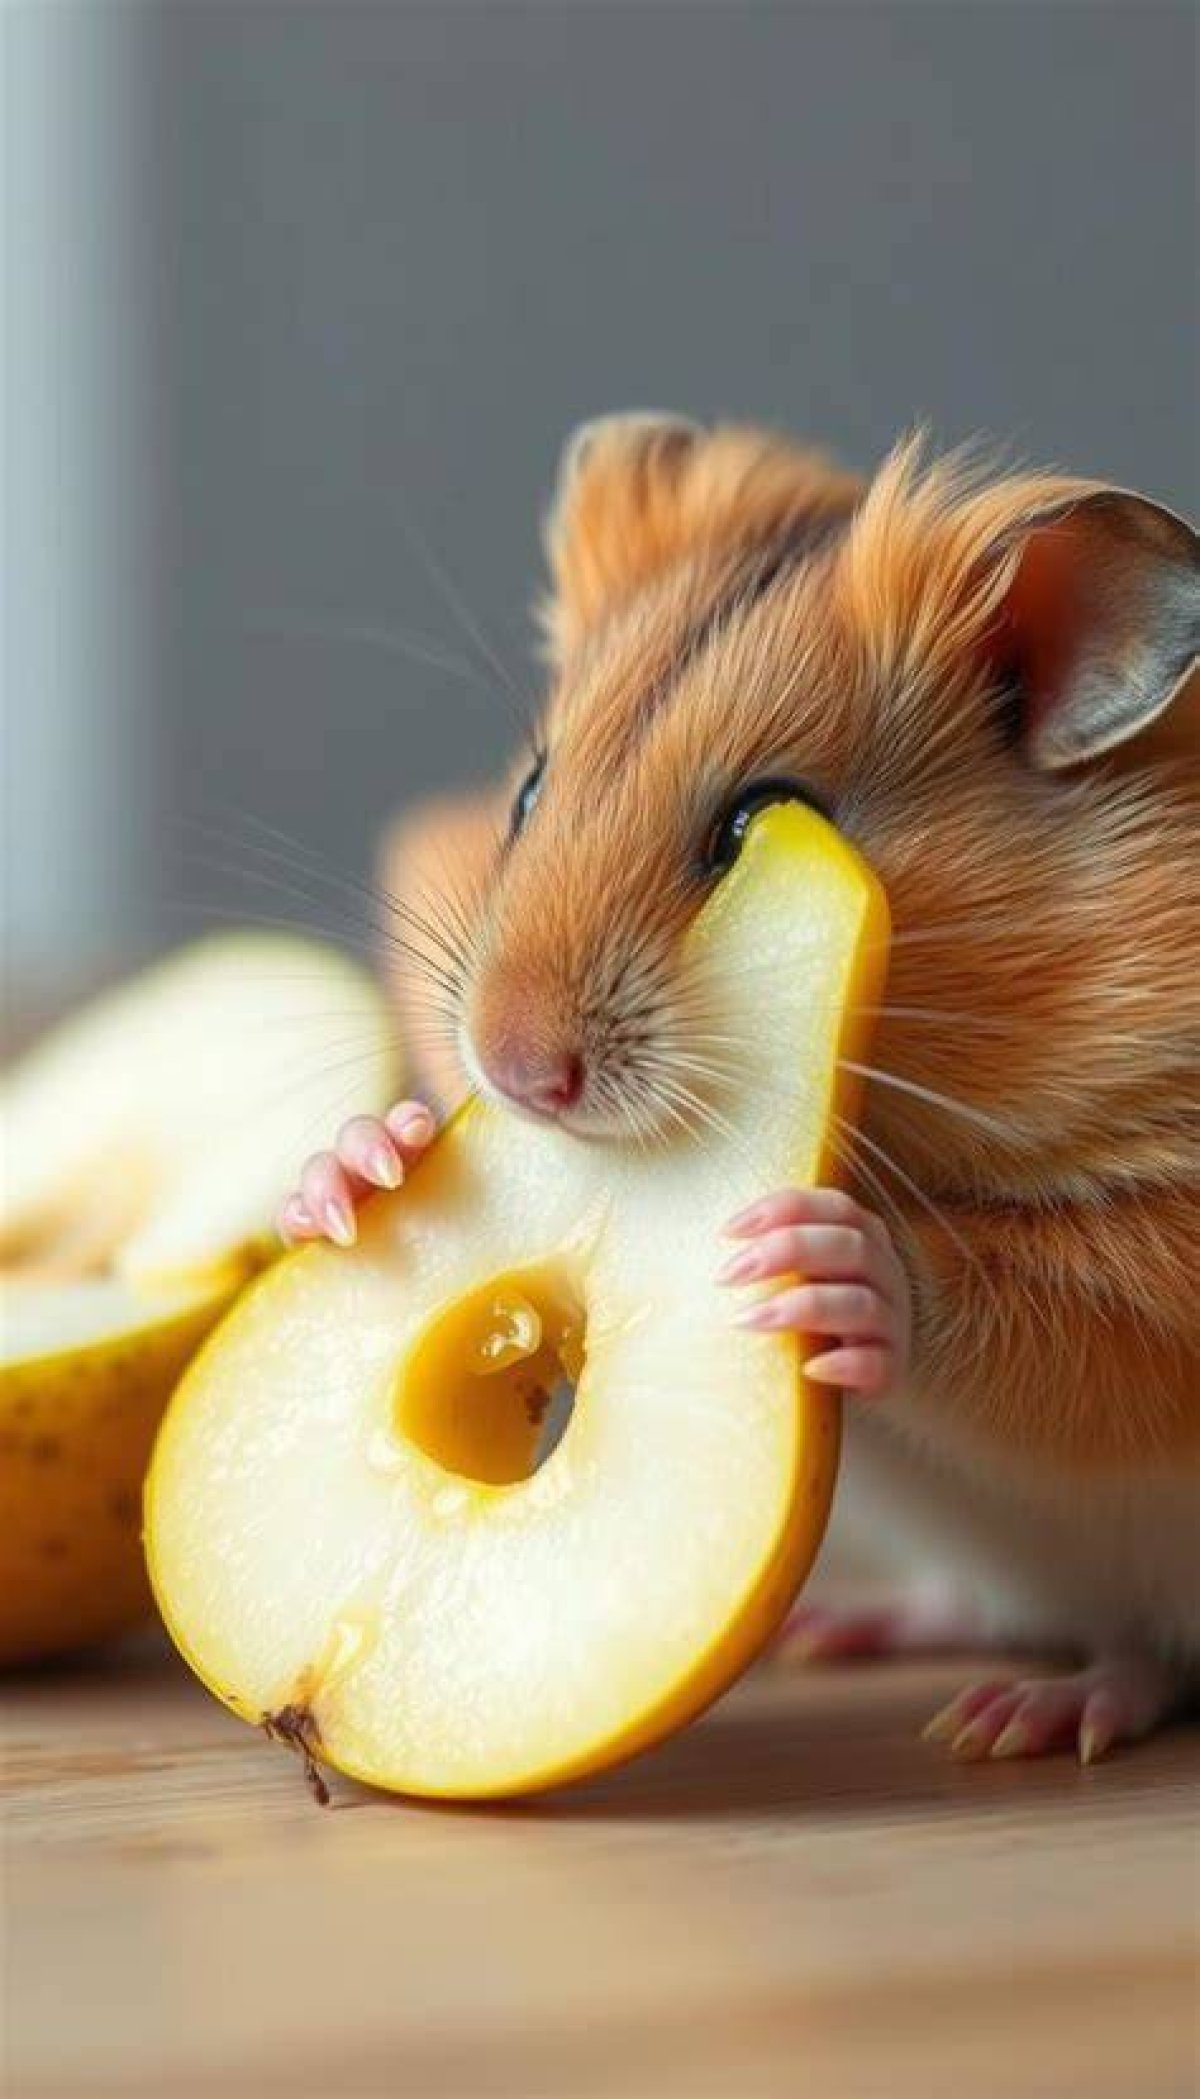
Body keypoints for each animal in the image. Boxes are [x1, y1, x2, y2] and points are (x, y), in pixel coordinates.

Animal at [281, 414, 1199, 1764]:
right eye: (529, 791)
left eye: (761, 823)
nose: (517, 1070)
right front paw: (356, 1167)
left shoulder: (1164, 1254)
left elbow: (1053, 1311)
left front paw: (837, 1258)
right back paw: (849, 1635)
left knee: (1144, 1657)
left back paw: (1022, 1715)